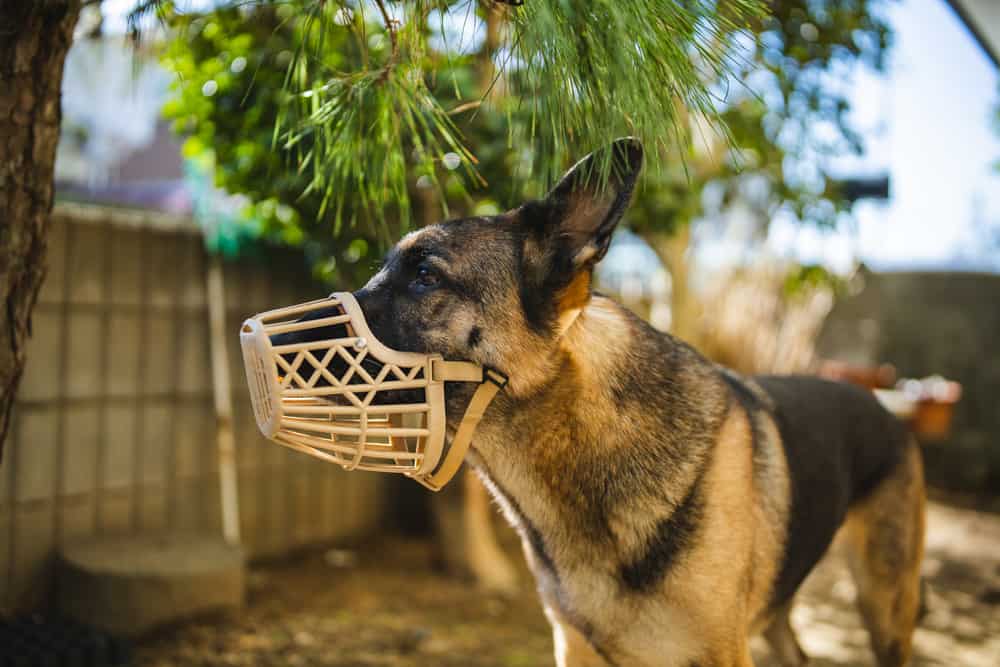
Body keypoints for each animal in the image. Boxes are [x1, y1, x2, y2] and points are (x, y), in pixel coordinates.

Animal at [330, 138, 928, 664]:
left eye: (425, 276)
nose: (294, 323)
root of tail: (881, 404)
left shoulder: (722, 654)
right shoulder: (574, 648)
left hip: (883, 604)